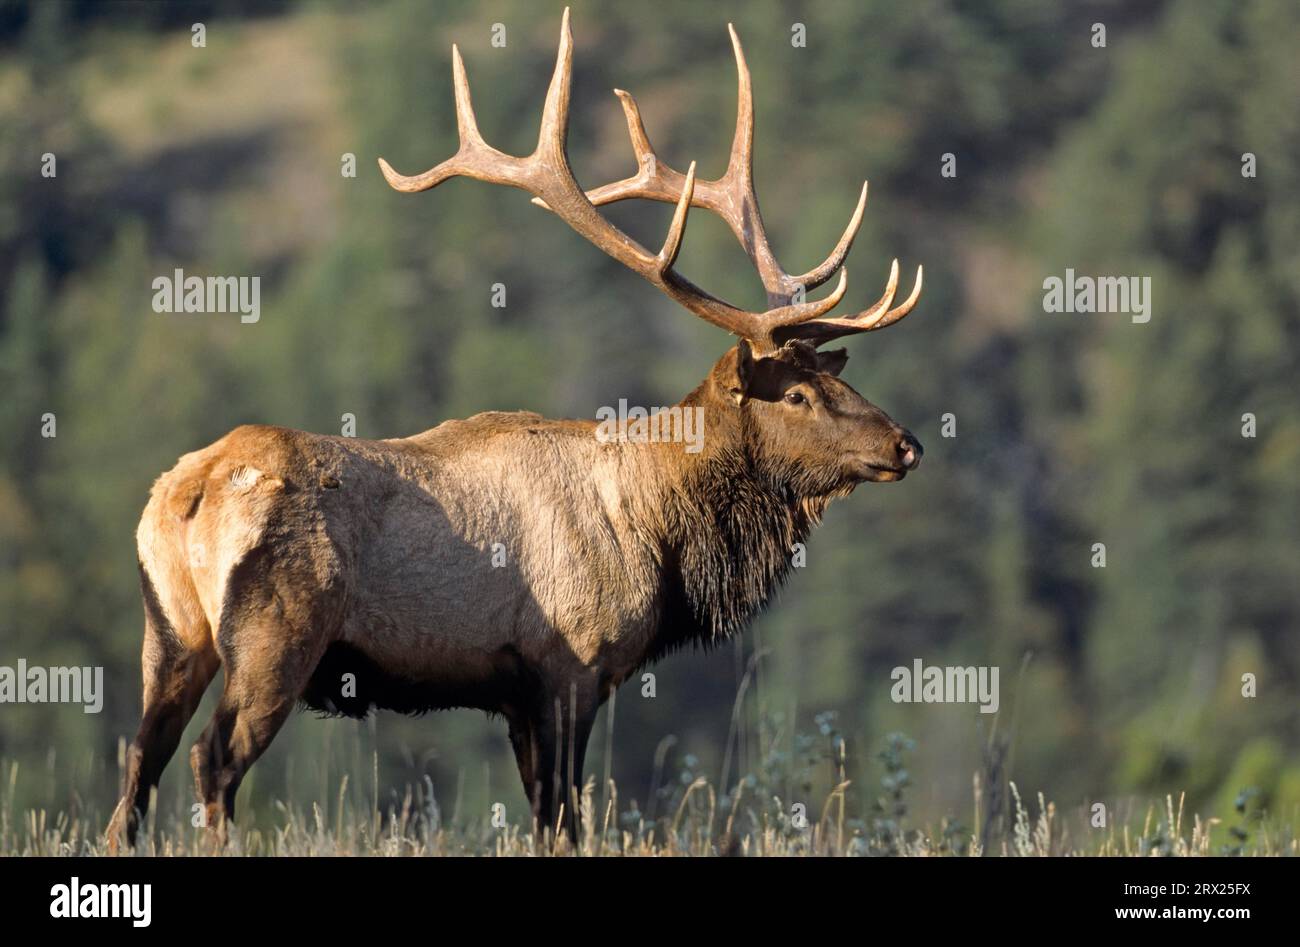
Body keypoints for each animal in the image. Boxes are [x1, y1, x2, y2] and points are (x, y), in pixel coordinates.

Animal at [106, 8, 924, 851]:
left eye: (835, 374)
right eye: (794, 393)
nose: (905, 443)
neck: (660, 534)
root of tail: (184, 494)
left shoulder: (519, 695)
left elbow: (542, 812)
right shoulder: (570, 663)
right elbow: (565, 814)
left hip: (170, 631)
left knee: (139, 758)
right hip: (275, 634)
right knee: (213, 757)